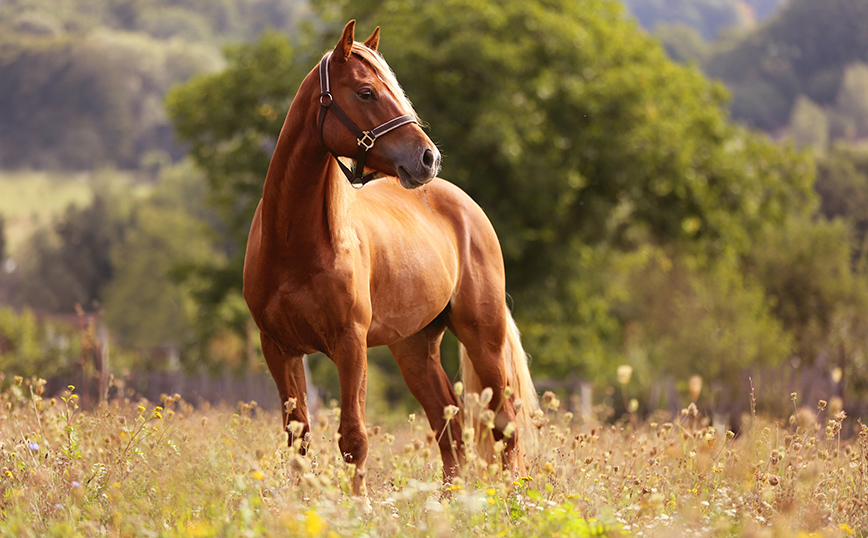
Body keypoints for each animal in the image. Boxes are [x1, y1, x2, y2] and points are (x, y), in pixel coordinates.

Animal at [242, 22, 536, 494]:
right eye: (366, 92)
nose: (428, 157)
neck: (294, 246)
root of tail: (465, 205)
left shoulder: (350, 344)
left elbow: (353, 439)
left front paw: (358, 506)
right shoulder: (279, 349)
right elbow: (298, 441)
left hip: (482, 337)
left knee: (502, 424)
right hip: (414, 347)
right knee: (449, 426)